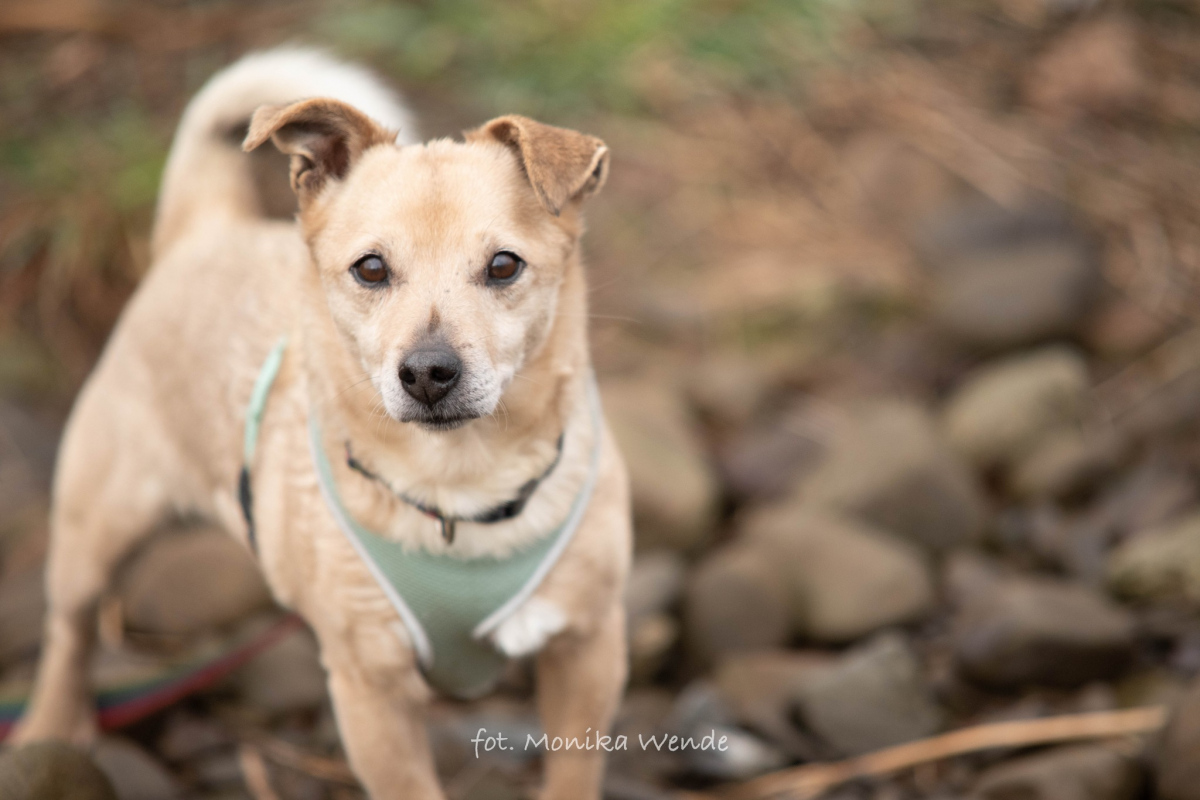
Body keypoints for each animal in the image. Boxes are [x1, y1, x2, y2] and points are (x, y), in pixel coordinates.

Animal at [14, 48, 632, 800]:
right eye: (370, 269)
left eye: (504, 265)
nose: (428, 372)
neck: (460, 483)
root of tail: (206, 228)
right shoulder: (372, 693)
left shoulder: (588, 647)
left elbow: (573, 770)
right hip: (98, 527)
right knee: (69, 631)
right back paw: (49, 728)